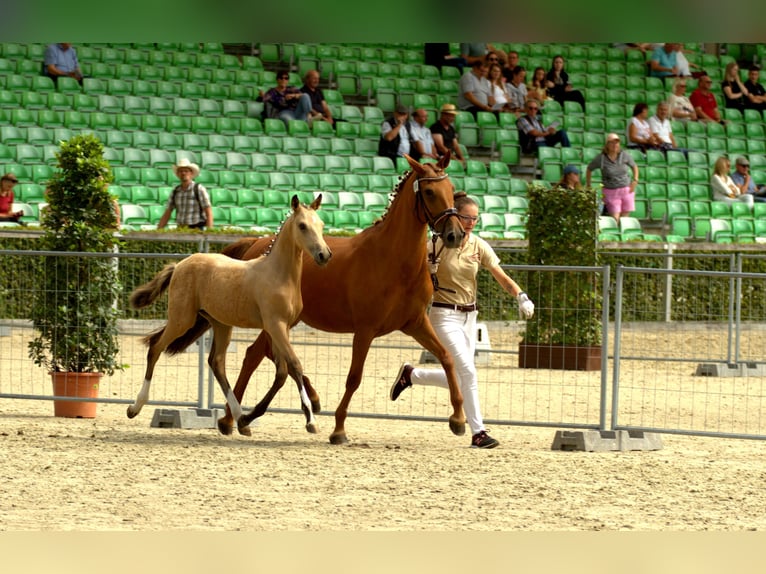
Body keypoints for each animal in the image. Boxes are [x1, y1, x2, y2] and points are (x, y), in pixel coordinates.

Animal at [127, 195, 332, 436]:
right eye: (302, 226)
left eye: (321, 225)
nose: (324, 255)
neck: (278, 275)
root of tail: (180, 264)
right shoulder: (275, 325)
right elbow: (294, 365)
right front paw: (311, 420)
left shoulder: (282, 327)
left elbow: (282, 372)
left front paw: (251, 417)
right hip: (182, 319)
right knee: (156, 347)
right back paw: (135, 407)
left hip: (220, 323)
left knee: (216, 362)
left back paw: (239, 418)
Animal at [198, 154, 468, 446]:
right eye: (429, 191)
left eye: (451, 189)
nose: (455, 235)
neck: (394, 261)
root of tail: (256, 243)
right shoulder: (365, 330)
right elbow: (354, 378)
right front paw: (338, 429)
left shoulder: (416, 323)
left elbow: (447, 358)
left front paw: (458, 419)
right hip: (274, 321)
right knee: (256, 357)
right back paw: (234, 418)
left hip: (281, 322)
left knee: (258, 355)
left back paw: (246, 416)